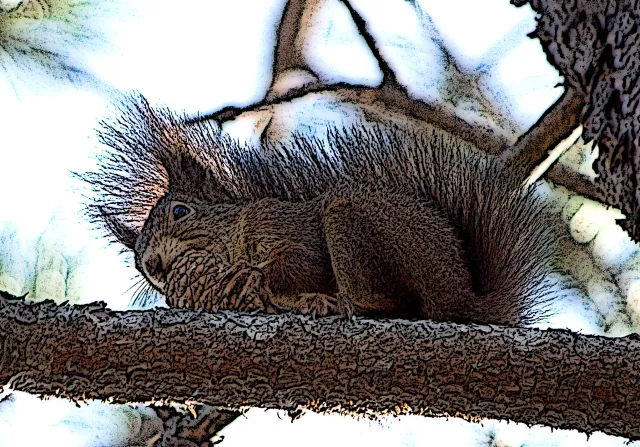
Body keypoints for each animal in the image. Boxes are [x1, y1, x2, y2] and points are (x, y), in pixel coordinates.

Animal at [79, 94, 561, 326]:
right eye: (137, 265)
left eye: (180, 212)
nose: (154, 266)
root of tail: (462, 297)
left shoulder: (281, 225)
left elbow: (303, 261)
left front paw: (252, 275)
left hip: (352, 222)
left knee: (389, 303)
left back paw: (341, 302)